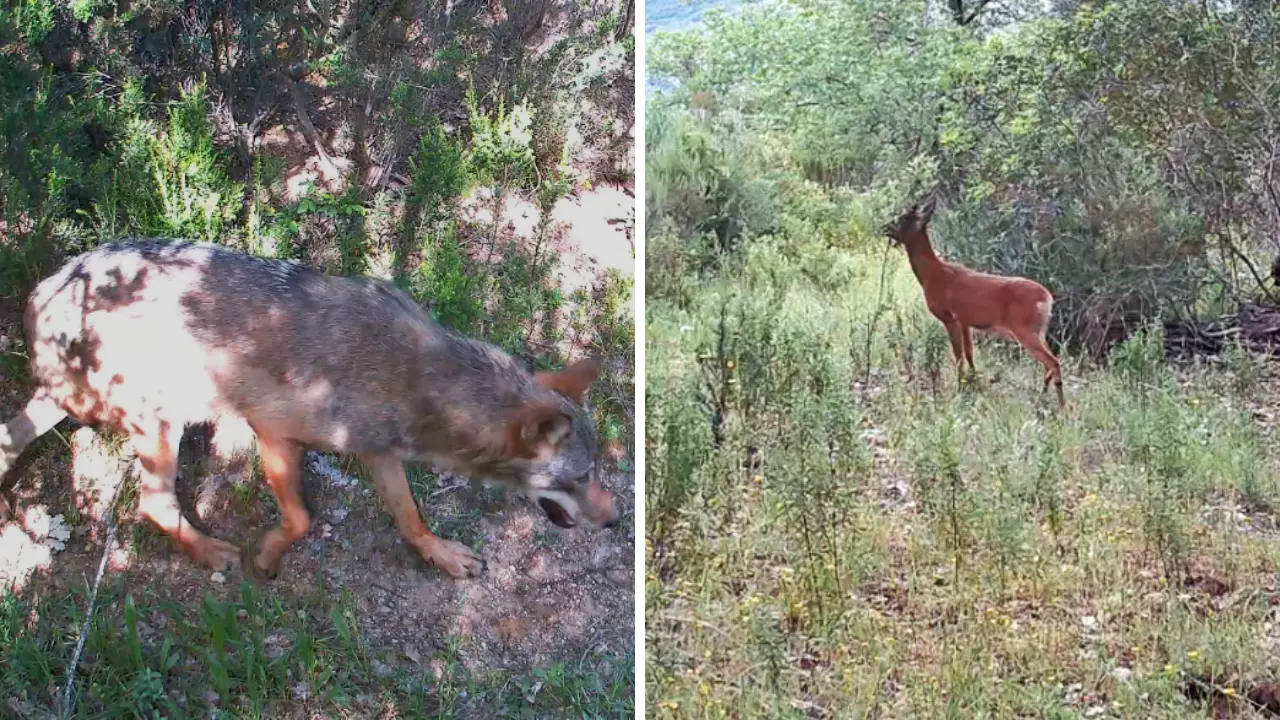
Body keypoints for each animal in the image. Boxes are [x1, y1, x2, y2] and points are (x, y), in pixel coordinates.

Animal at [0, 239, 618, 580]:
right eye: (578, 478)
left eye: (595, 475)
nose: (615, 520)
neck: (417, 380)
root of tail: (40, 294)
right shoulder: (271, 431)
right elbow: (300, 518)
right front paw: (267, 556)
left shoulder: (380, 454)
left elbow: (411, 517)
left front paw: (440, 556)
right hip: (161, 425)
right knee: (153, 506)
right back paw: (214, 553)